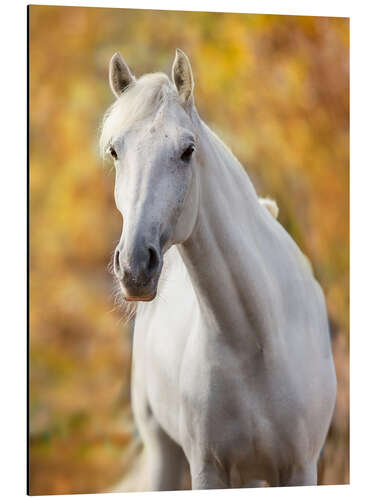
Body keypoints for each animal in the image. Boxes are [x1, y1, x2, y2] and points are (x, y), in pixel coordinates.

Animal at [100, 47, 338, 488]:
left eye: (187, 150)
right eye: (114, 151)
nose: (135, 266)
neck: (256, 341)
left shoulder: (301, 468)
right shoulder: (207, 468)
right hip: (164, 452)